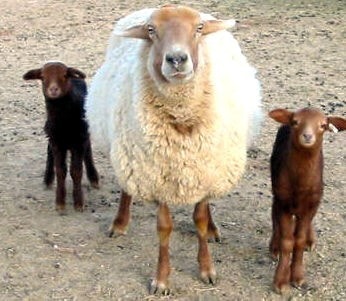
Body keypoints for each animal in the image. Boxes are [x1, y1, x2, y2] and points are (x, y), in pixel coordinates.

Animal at [87, 4, 262, 294]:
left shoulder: (207, 168)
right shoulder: (157, 176)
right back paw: (120, 223)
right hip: (126, 150)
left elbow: (199, 219)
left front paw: (206, 268)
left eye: (198, 28)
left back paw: (213, 228)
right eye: (151, 30)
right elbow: (164, 228)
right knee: (127, 186)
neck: (182, 121)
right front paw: (161, 279)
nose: (177, 59)